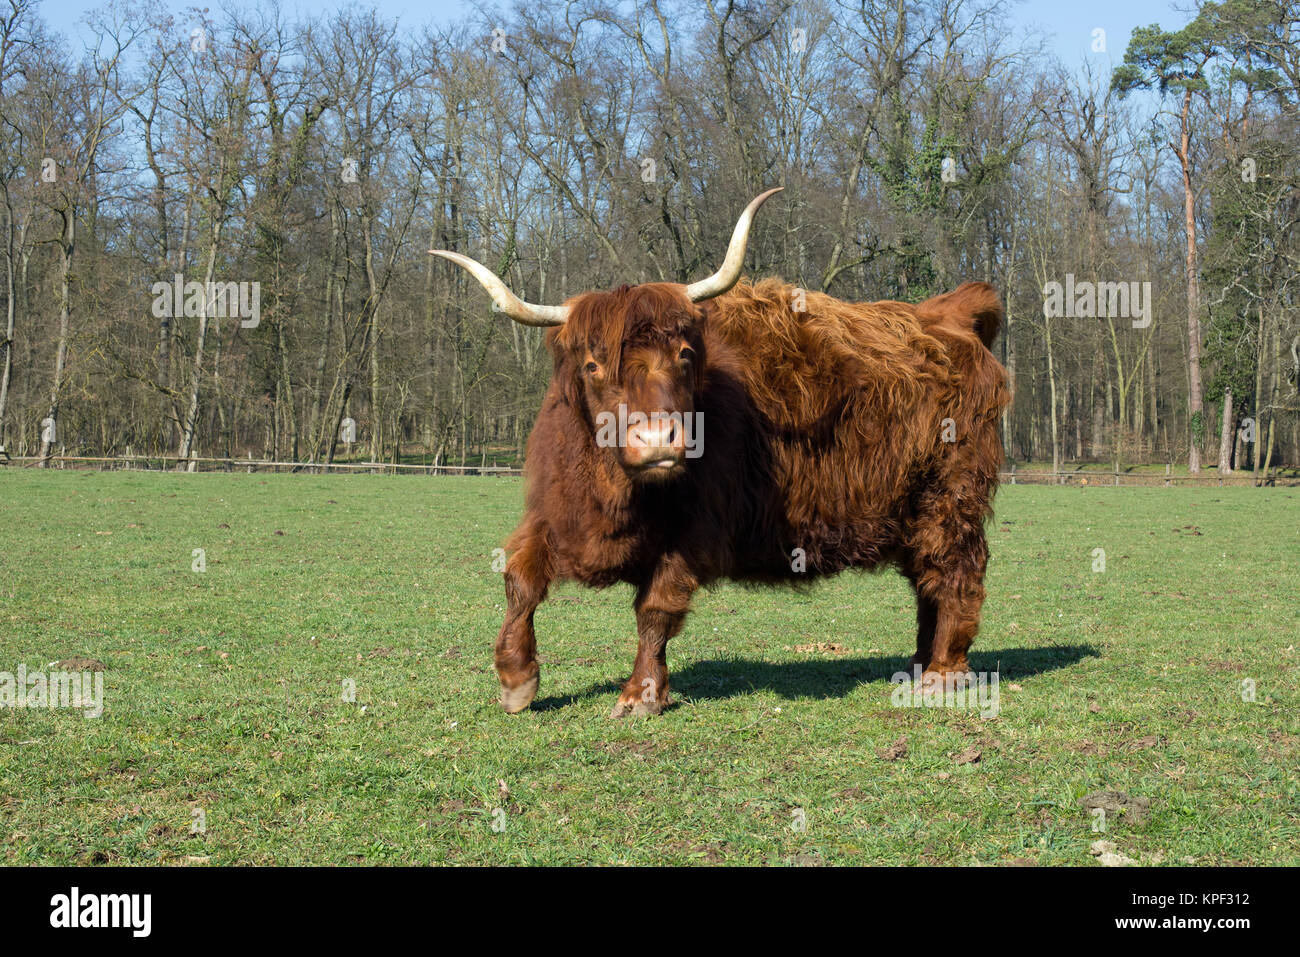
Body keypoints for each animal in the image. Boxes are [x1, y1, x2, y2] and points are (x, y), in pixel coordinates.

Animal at [430, 187, 1011, 717]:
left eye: (685, 355)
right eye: (593, 366)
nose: (659, 440)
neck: (616, 495)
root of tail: (945, 313)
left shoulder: (695, 531)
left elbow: (655, 609)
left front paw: (639, 695)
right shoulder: (556, 513)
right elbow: (519, 579)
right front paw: (515, 678)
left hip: (950, 495)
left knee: (956, 573)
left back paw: (941, 674)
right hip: (910, 509)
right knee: (925, 580)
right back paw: (917, 663)